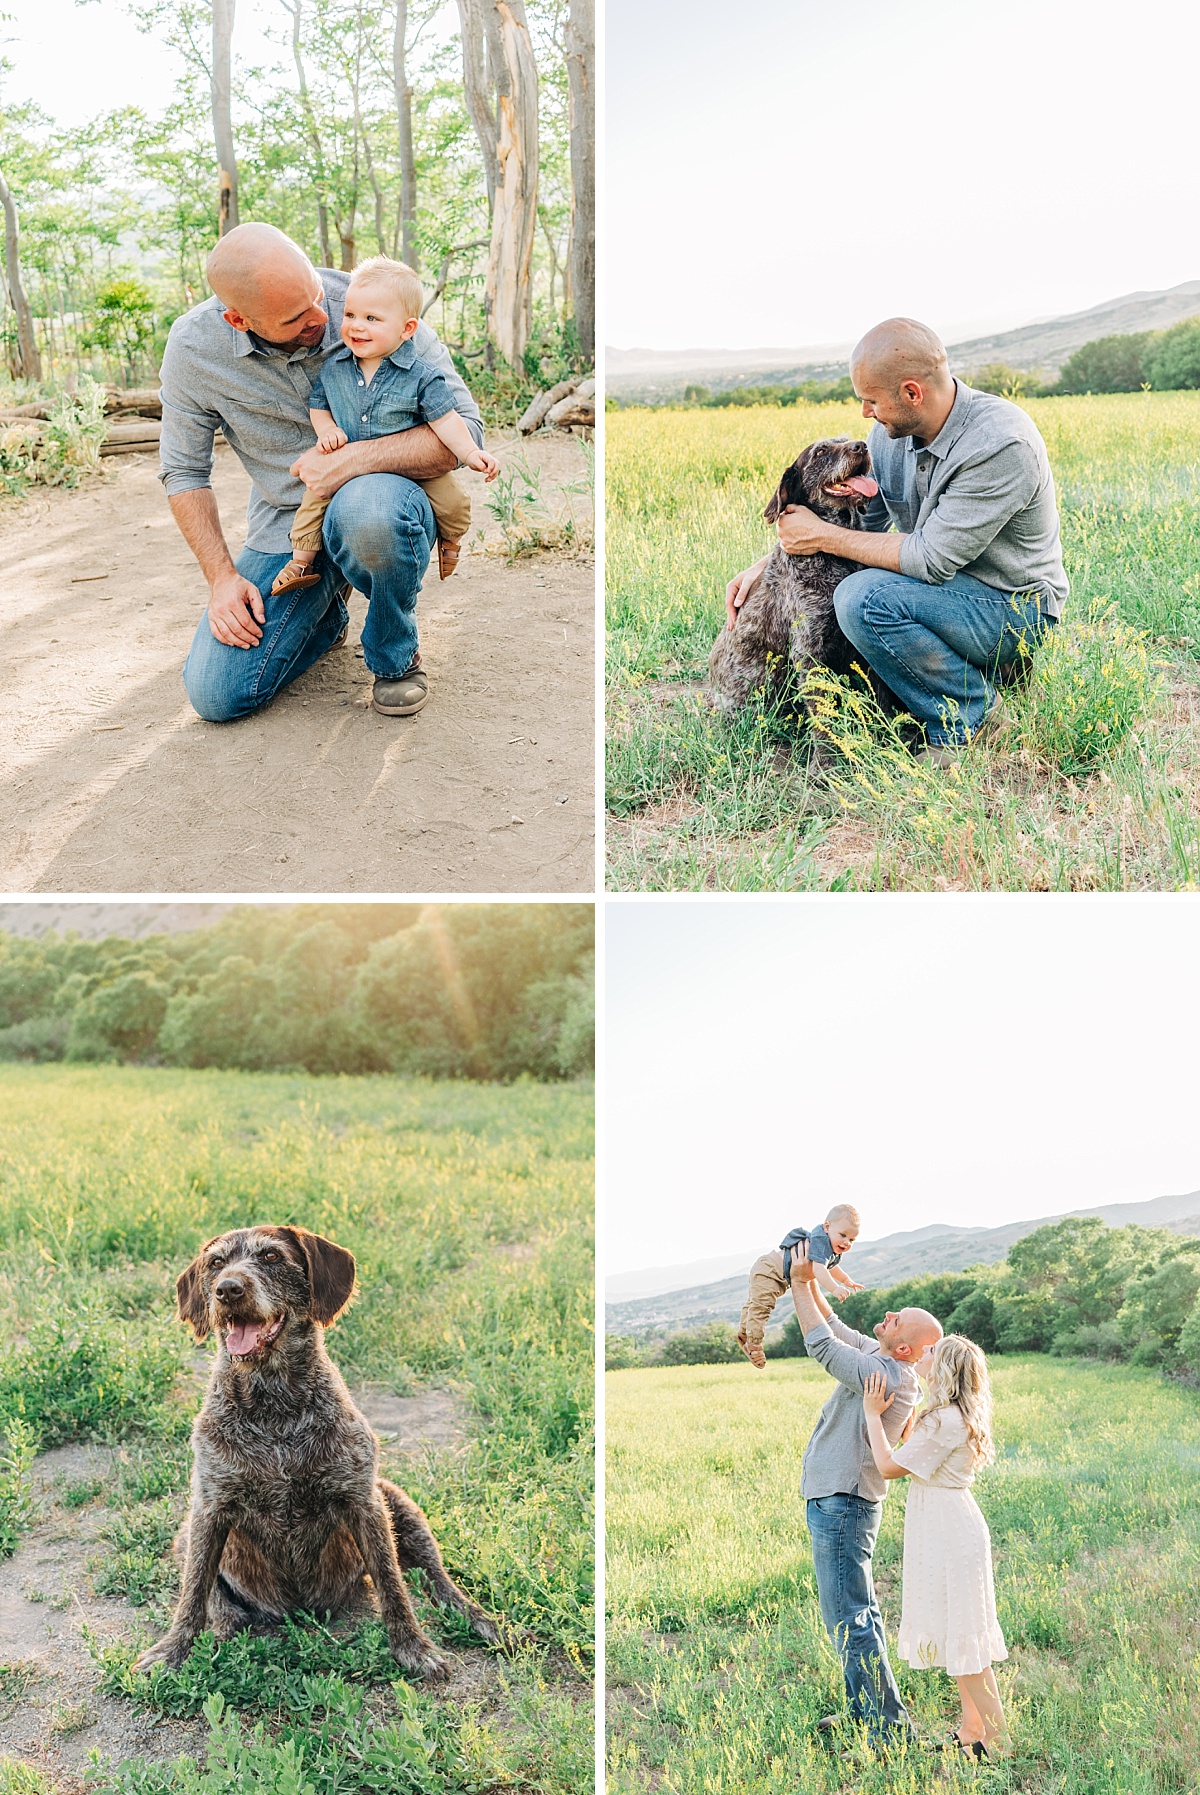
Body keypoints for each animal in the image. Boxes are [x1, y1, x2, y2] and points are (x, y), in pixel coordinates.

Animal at [133, 1227, 498, 1672]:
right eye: (216, 1263)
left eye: (271, 1256)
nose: (228, 1290)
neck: (274, 1407)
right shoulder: (209, 1508)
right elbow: (194, 1590)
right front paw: (173, 1650)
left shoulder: (364, 1502)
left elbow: (392, 1582)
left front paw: (413, 1646)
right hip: (186, 1534)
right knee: (212, 1592)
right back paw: (227, 1622)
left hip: (398, 1503)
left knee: (435, 1576)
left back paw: (478, 1618)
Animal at [706, 437, 893, 718]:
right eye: (820, 452)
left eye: (845, 439)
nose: (861, 445)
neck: (833, 554)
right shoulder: (809, 649)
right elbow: (823, 713)